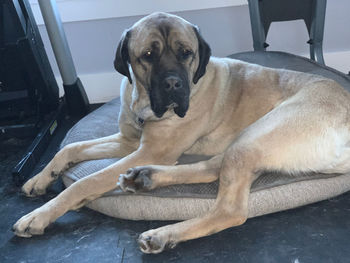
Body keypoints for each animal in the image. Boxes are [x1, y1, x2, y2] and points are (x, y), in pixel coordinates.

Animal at [12, 11, 350, 254]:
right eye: (147, 55)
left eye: (186, 52)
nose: (173, 84)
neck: (144, 104)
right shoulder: (129, 141)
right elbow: (70, 148)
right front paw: (38, 179)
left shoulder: (151, 149)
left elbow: (87, 181)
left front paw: (38, 216)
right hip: (247, 142)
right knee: (211, 168)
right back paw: (144, 177)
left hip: (258, 135)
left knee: (230, 210)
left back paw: (163, 233)